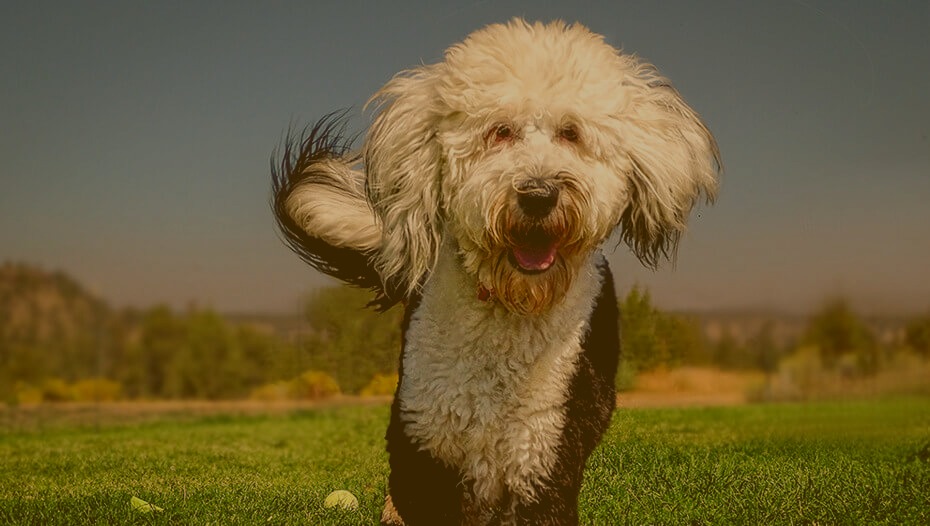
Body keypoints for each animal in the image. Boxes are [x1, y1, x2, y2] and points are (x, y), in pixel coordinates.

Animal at [268, 17, 716, 526]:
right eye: (500, 131)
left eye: (571, 133)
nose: (538, 194)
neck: (508, 308)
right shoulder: (425, 441)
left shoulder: (542, 453)